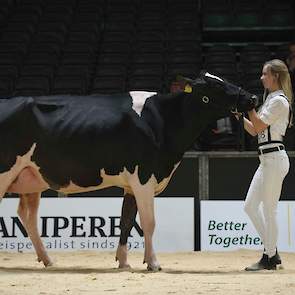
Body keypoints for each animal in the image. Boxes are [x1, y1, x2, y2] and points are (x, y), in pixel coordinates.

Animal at [0, 71, 256, 270]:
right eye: (216, 85)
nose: (252, 97)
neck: (164, 120)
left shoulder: (131, 184)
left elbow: (126, 221)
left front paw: (123, 262)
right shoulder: (143, 178)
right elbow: (148, 222)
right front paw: (153, 263)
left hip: (30, 178)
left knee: (28, 216)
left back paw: (48, 260)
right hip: (5, 174)